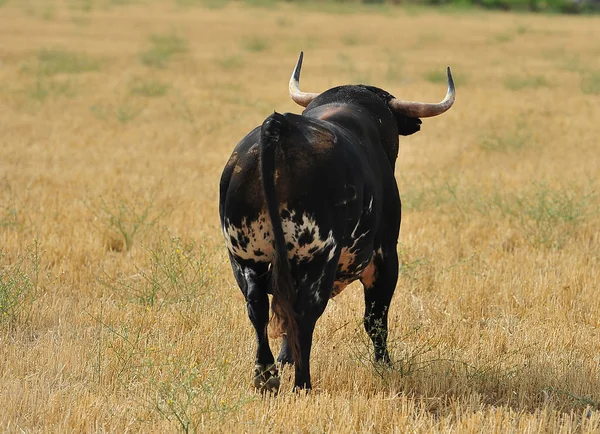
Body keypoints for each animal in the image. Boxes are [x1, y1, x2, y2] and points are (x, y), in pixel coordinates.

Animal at [219, 52, 454, 392]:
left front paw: (284, 360)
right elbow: (375, 319)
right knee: (304, 315)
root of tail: (279, 128)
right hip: (316, 259)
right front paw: (384, 366)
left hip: (245, 257)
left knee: (259, 309)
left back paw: (266, 378)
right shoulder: (385, 256)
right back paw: (302, 384)